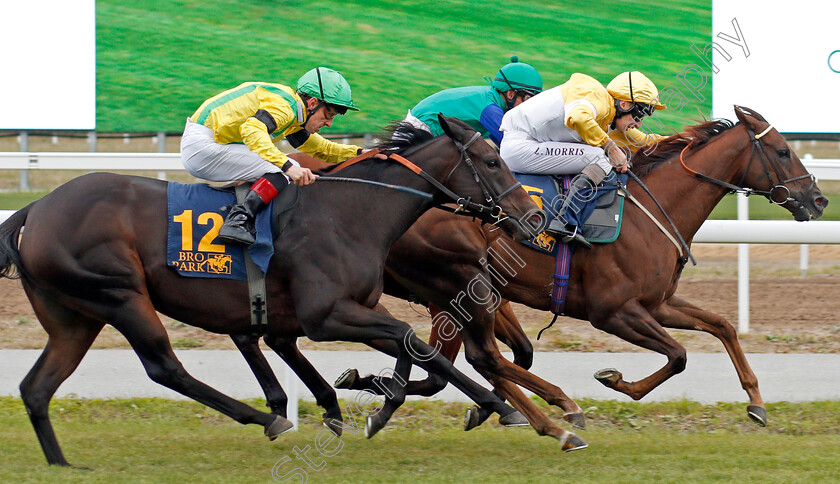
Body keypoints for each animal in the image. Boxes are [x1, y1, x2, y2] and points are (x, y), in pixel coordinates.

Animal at [0, 115, 544, 466]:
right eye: (491, 161)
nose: (534, 219)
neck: (351, 211)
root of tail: (36, 208)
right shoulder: (327, 313)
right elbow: (414, 343)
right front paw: (503, 407)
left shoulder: (336, 311)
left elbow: (409, 349)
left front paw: (358, 396)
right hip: (119, 293)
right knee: (164, 367)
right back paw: (264, 418)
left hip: (75, 315)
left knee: (37, 387)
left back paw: (63, 466)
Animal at [231, 107, 828, 446]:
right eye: (782, 150)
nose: (818, 200)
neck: (649, 211)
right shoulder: (615, 312)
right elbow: (678, 355)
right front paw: (613, 380)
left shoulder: (656, 304)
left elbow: (721, 325)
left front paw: (756, 402)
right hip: (457, 283)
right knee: (470, 357)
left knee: (453, 359)